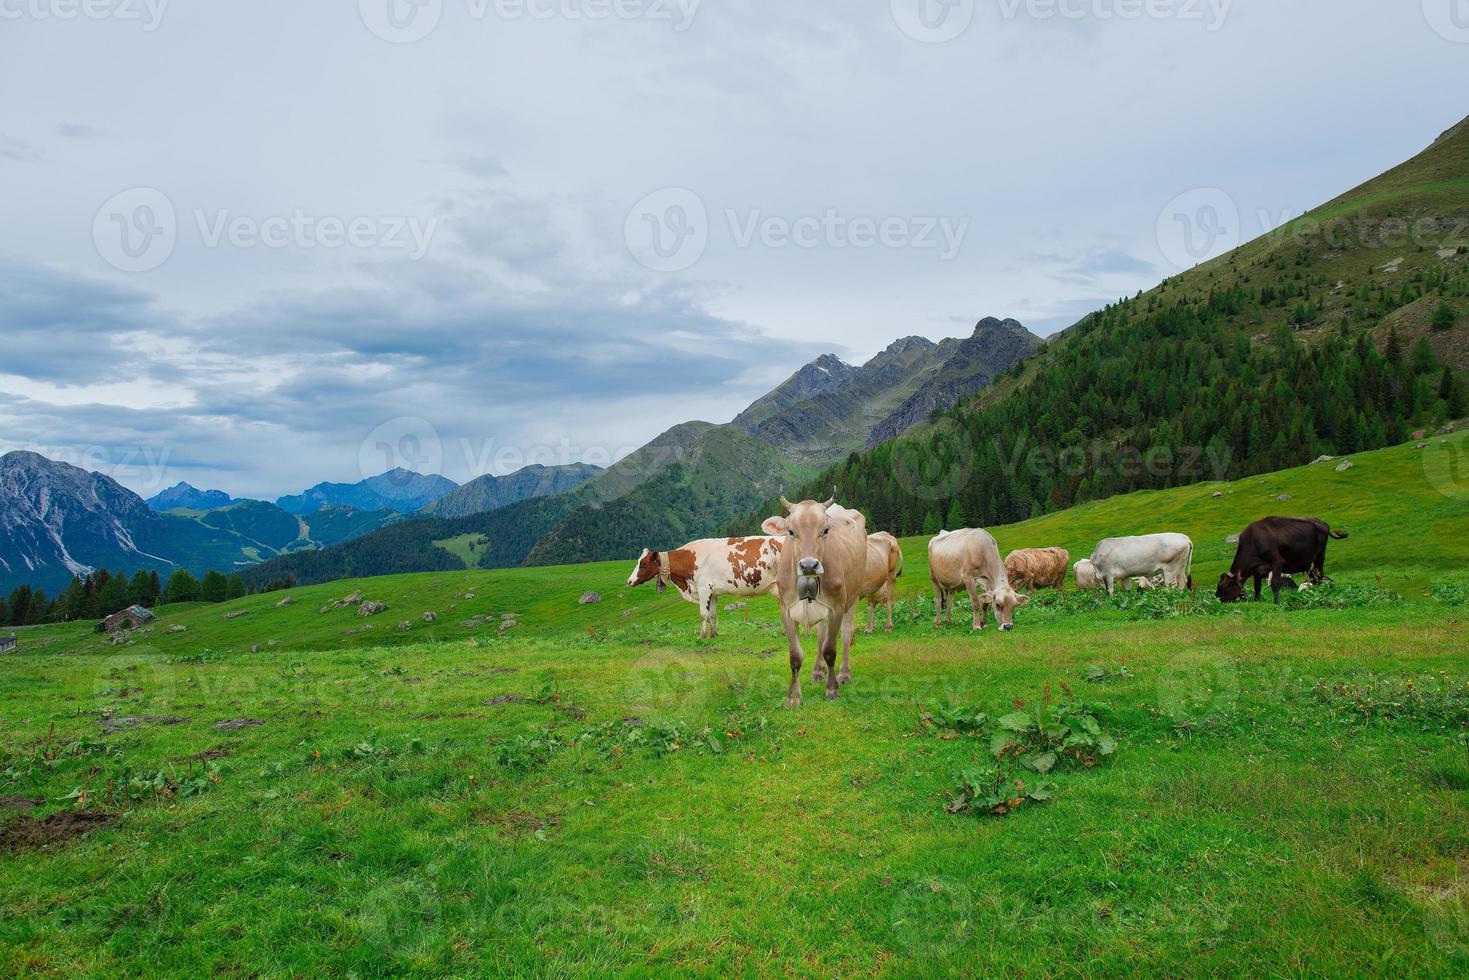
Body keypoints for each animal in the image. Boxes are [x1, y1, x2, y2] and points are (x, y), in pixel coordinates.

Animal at [625, 531, 787, 640]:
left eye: (643, 563)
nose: (629, 581)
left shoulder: (704, 589)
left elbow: (703, 614)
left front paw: (702, 636)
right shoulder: (713, 592)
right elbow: (713, 615)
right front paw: (713, 634)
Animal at [763, 493, 863, 708]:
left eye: (825, 530)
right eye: (791, 531)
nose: (809, 565)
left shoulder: (836, 608)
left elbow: (830, 650)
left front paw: (832, 689)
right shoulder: (786, 610)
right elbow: (795, 656)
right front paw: (793, 697)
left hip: (853, 598)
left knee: (845, 634)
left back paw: (844, 674)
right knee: (820, 634)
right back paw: (818, 671)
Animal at [1210, 514, 1345, 605]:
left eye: (1223, 586)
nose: (1217, 597)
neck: (1253, 541)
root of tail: (1323, 523)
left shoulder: (1277, 562)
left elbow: (1275, 584)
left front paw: (1276, 602)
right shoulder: (1257, 569)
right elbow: (1257, 587)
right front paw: (1257, 601)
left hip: (1319, 556)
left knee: (1320, 576)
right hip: (1310, 564)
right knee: (1315, 579)